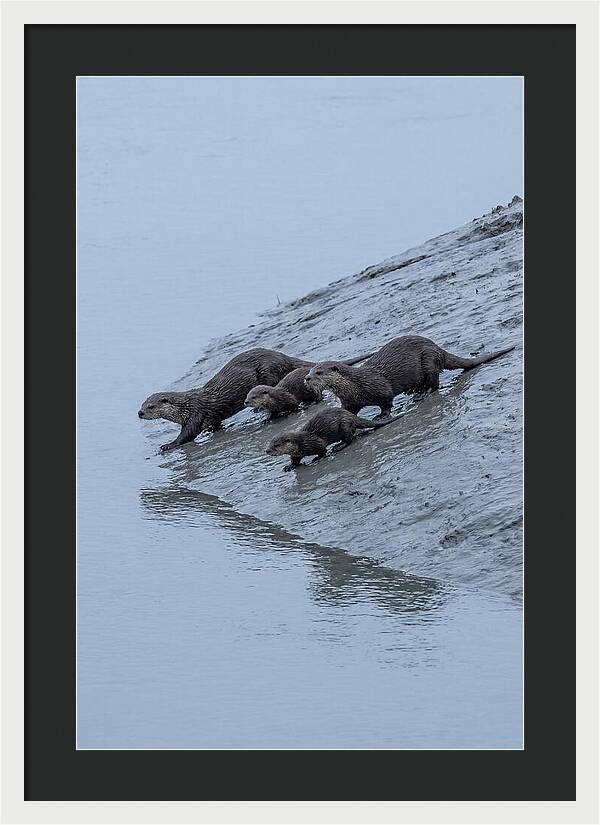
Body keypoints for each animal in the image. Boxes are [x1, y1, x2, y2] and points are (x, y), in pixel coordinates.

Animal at [244, 352, 373, 418]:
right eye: (247, 396)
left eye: (253, 397)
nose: (245, 402)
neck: (275, 398)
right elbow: (272, 413)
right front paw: (269, 418)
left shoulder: (288, 398)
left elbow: (294, 405)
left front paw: (292, 412)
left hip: (312, 389)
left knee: (319, 396)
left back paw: (311, 403)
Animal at [265, 407, 397, 471]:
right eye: (270, 443)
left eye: (276, 445)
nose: (267, 451)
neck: (301, 443)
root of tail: (350, 415)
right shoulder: (296, 454)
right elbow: (295, 461)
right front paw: (289, 466)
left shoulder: (315, 442)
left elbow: (322, 450)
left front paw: (317, 459)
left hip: (344, 425)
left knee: (350, 439)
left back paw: (338, 447)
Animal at [305, 335, 515, 417]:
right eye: (309, 371)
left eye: (319, 372)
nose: (306, 379)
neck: (355, 385)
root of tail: (438, 349)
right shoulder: (349, 402)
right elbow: (348, 412)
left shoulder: (380, 387)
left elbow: (386, 401)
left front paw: (381, 416)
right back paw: (415, 390)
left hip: (428, 359)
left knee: (434, 381)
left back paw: (423, 393)